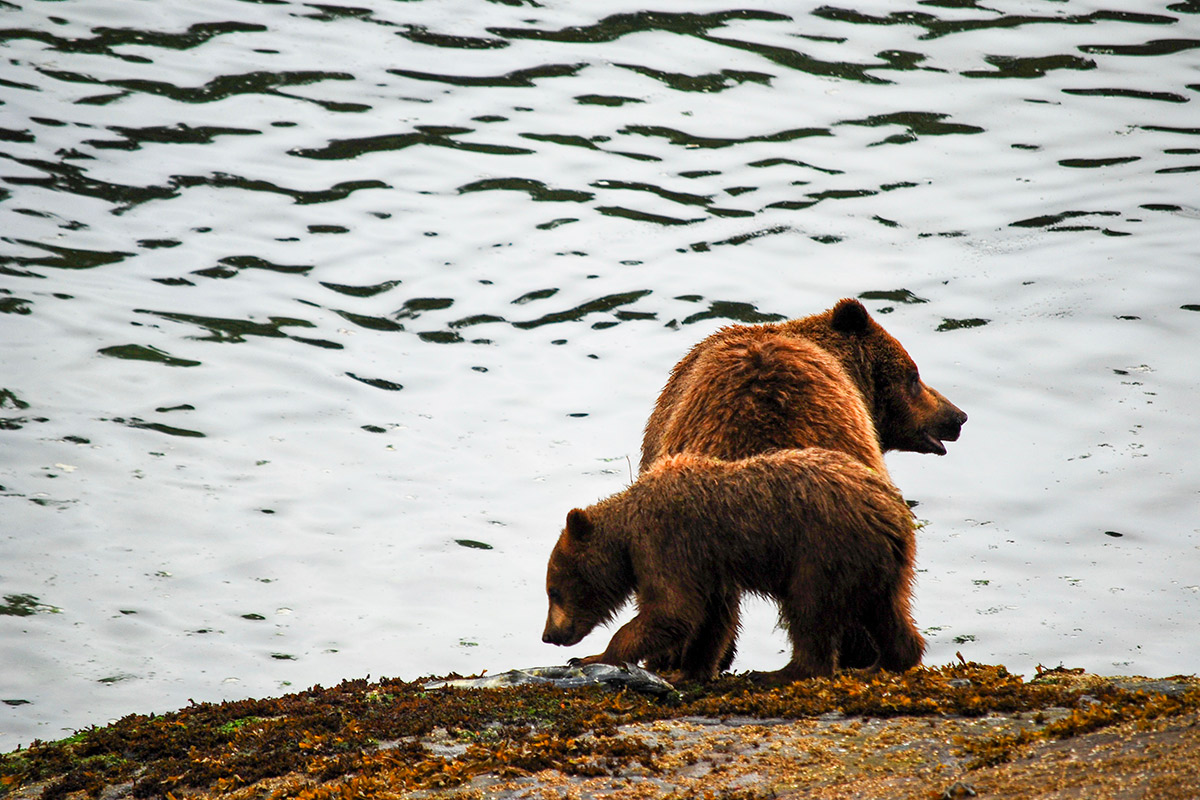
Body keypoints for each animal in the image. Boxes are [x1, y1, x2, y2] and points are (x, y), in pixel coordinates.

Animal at [541, 449, 925, 684]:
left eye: (553, 590)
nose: (549, 635)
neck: (628, 535)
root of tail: (890, 511)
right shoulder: (707, 564)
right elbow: (711, 618)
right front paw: (688, 670)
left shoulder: (665, 542)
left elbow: (671, 610)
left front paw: (593, 657)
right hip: (881, 563)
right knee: (886, 611)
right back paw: (883, 662)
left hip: (822, 549)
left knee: (808, 610)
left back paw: (779, 672)